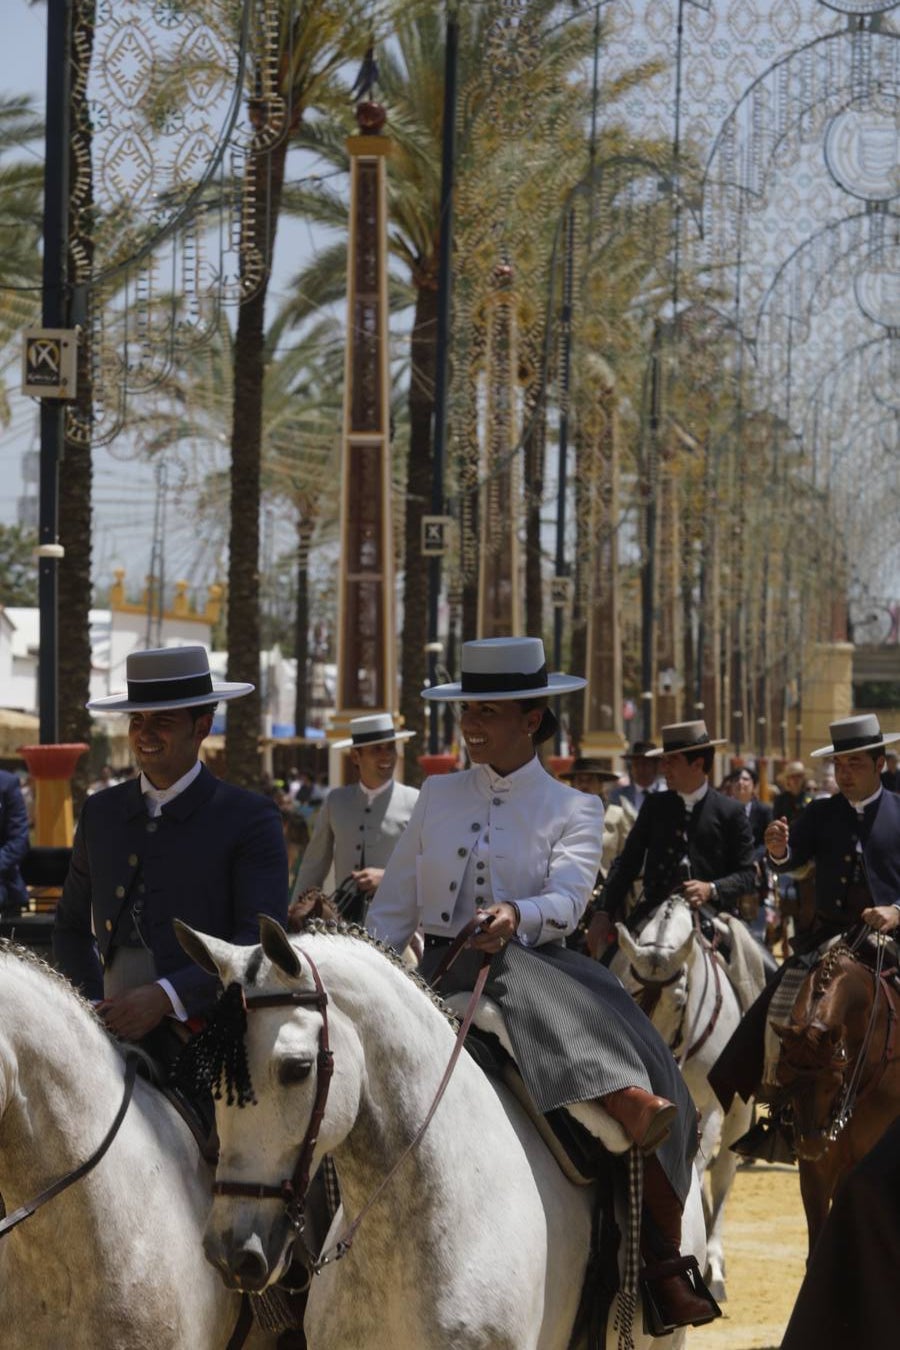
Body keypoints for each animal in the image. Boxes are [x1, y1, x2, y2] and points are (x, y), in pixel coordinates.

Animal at [612, 896, 755, 1306]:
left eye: (678, 1001)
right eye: (627, 987)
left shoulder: (712, 1107)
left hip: (738, 1114)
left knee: (722, 1171)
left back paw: (715, 1261)